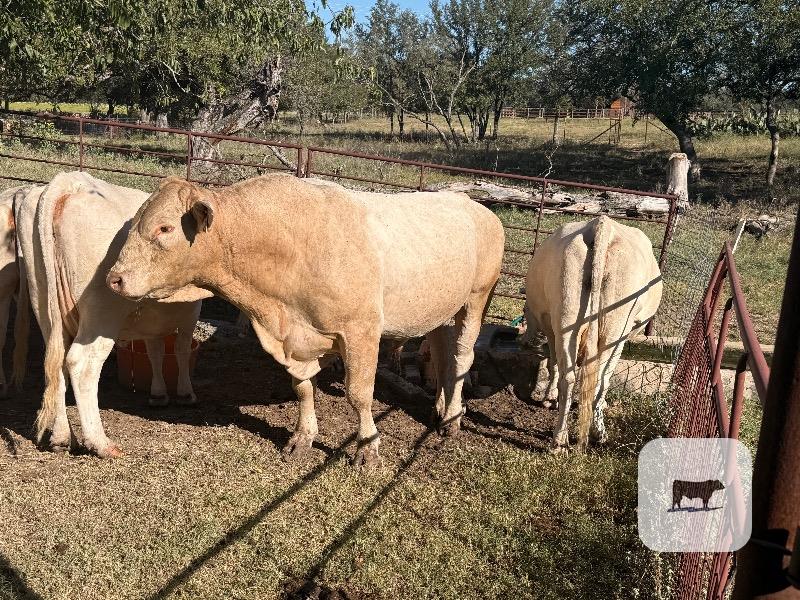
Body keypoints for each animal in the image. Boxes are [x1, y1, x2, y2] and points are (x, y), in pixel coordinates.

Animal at [14, 172, 202, 457]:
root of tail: (71, 182)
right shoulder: (191, 313)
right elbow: (181, 350)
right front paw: (185, 393)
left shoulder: (154, 323)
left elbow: (156, 351)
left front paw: (158, 393)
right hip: (102, 312)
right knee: (81, 363)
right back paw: (101, 443)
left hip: (43, 298)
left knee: (55, 364)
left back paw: (62, 438)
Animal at [106, 173, 505, 467]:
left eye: (165, 228)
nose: (114, 278)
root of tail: (475, 206)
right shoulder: (293, 340)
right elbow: (302, 387)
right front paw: (303, 437)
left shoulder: (361, 330)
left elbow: (359, 394)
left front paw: (367, 448)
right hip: (441, 310)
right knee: (441, 353)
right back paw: (440, 406)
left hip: (477, 298)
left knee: (462, 356)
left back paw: (452, 420)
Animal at [522, 215, 662, 452]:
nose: (524, 341)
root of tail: (602, 224)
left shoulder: (551, 327)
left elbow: (553, 364)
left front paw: (550, 397)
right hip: (615, 327)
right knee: (598, 378)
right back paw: (597, 433)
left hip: (568, 315)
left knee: (570, 376)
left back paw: (559, 440)